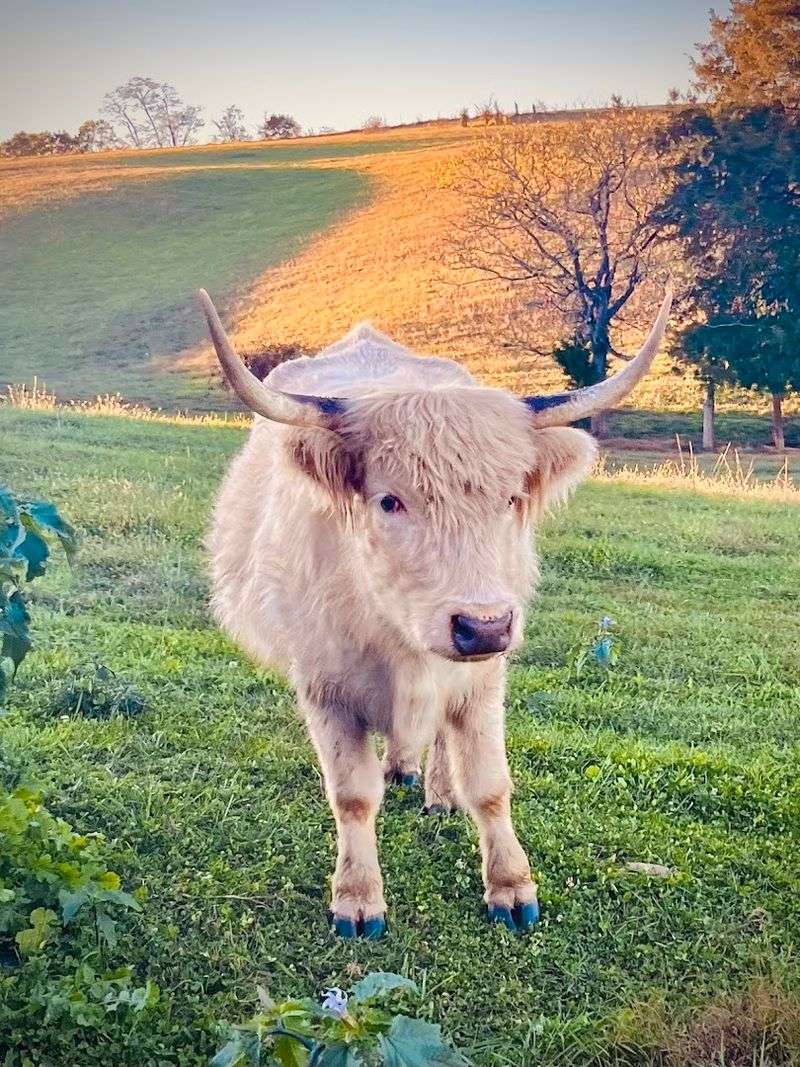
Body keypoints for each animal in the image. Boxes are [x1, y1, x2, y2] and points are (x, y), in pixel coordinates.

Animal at [200, 287, 672, 939]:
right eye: (389, 501)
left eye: (511, 498)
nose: (483, 625)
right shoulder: (324, 685)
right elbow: (352, 795)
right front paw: (357, 899)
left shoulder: (484, 678)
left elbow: (491, 785)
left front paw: (511, 888)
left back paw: (438, 790)